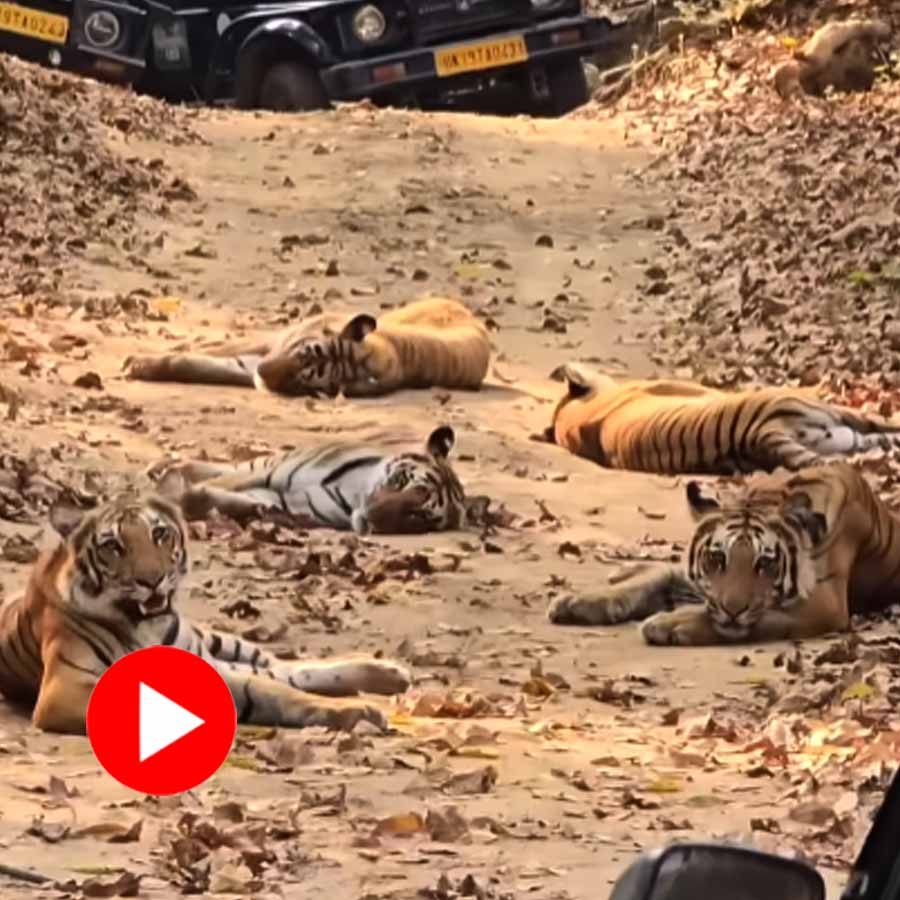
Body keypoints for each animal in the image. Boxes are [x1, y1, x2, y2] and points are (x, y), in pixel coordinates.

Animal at [0, 493, 411, 735]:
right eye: (112, 546)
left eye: (159, 534)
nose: (152, 580)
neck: (145, 626)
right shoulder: (64, 689)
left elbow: (278, 692)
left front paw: (360, 712)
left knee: (283, 668)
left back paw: (390, 673)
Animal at [150, 425, 490, 534]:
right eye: (400, 480)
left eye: (417, 516)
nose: (370, 519)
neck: (353, 493)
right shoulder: (267, 474)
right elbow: (221, 483)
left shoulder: (287, 500)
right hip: (260, 464)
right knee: (209, 467)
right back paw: (162, 469)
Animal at [548, 462, 900, 645]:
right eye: (718, 559)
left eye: (766, 563)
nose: (733, 609)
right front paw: (578, 601)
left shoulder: (824, 603)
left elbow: (759, 620)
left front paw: (670, 623)